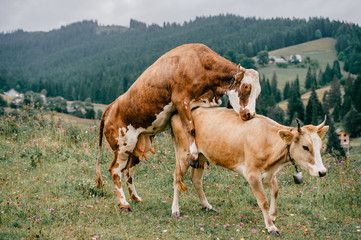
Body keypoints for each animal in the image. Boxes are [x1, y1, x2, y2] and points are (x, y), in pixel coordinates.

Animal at [94, 43, 260, 212]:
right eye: (246, 87)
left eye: (258, 93)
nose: (250, 114)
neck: (202, 65)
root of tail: (111, 106)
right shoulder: (181, 99)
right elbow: (190, 127)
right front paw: (193, 153)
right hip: (123, 145)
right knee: (115, 171)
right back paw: (124, 203)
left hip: (136, 147)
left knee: (128, 170)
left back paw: (135, 198)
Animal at [170, 108, 328, 236]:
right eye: (305, 147)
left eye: (320, 145)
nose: (322, 172)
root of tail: (178, 113)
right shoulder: (252, 174)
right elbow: (263, 201)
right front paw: (271, 227)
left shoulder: (269, 174)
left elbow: (275, 191)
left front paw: (272, 215)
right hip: (183, 153)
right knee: (177, 179)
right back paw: (175, 210)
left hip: (201, 156)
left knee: (196, 179)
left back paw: (207, 206)